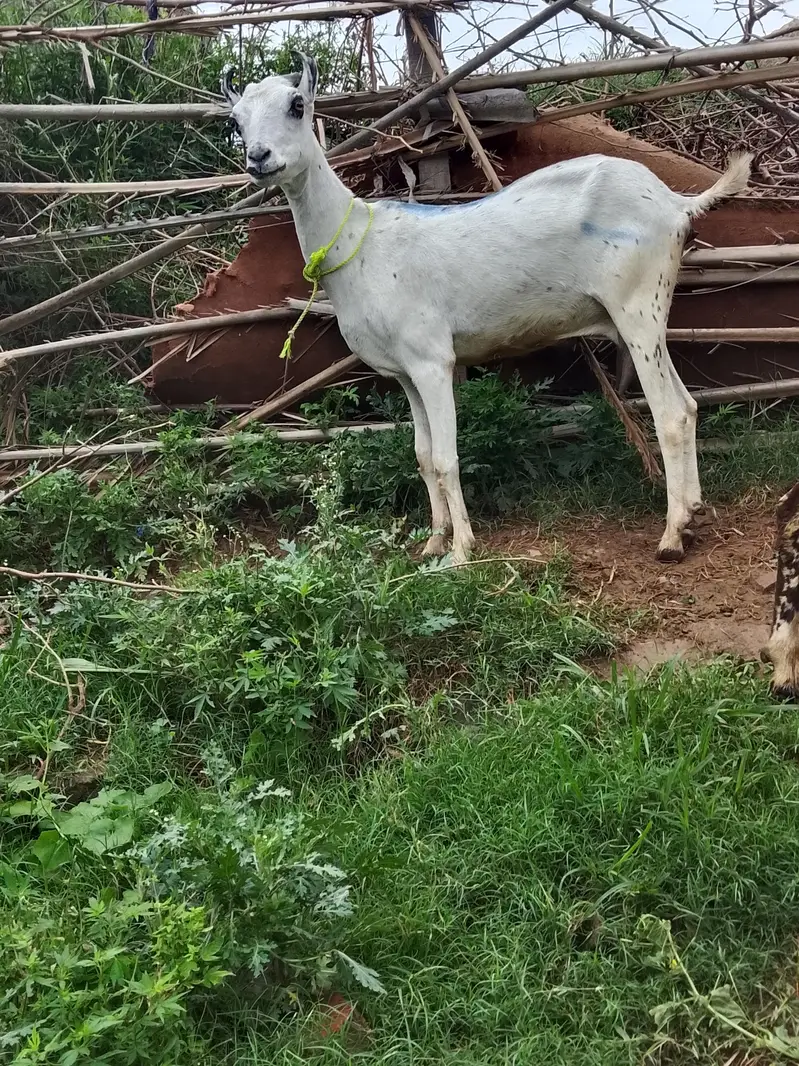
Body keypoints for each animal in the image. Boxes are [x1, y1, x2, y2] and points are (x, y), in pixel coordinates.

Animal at [223, 54, 752, 564]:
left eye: (297, 105)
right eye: (235, 120)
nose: (258, 157)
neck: (358, 241)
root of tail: (677, 203)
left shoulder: (434, 360)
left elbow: (445, 458)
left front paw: (461, 550)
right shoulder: (405, 372)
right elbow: (422, 455)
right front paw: (432, 544)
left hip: (638, 305)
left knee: (670, 413)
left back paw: (672, 536)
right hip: (643, 318)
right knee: (687, 403)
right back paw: (695, 511)